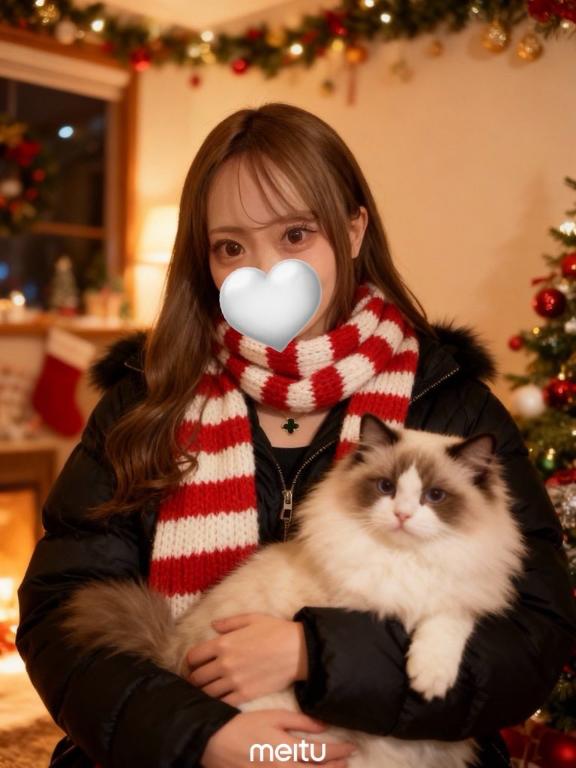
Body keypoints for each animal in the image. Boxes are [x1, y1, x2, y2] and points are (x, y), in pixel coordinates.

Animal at [60, 414, 526, 768]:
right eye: (386, 488)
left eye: (435, 496)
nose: (402, 515)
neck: (402, 560)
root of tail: (170, 650)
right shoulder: (353, 608)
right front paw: (422, 679)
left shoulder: (457, 596)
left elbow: (446, 621)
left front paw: (429, 681)